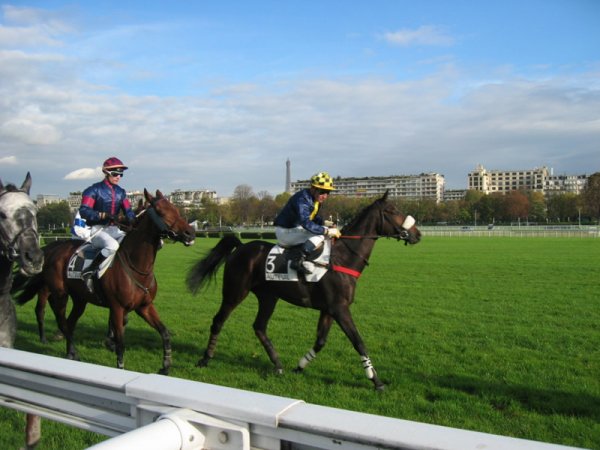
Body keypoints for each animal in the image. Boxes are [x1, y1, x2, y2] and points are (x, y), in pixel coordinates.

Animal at [12, 188, 195, 374]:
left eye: (176, 209)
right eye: (160, 211)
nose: (190, 233)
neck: (137, 268)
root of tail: (52, 250)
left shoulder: (144, 306)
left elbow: (164, 332)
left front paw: (165, 365)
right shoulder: (117, 307)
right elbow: (121, 342)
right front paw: (117, 357)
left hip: (80, 299)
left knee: (69, 323)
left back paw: (70, 352)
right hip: (59, 293)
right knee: (57, 319)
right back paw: (64, 347)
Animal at [188, 191, 422, 390]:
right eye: (392, 211)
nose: (417, 234)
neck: (342, 258)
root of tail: (240, 247)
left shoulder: (329, 309)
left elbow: (320, 341)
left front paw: (299, 366)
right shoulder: (340, 309)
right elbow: (358, 342)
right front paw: (376, 381)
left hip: (268, 297)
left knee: (259, 327)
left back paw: (278, 364)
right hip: (235, 292)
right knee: (219, 320)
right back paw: (205, 358)